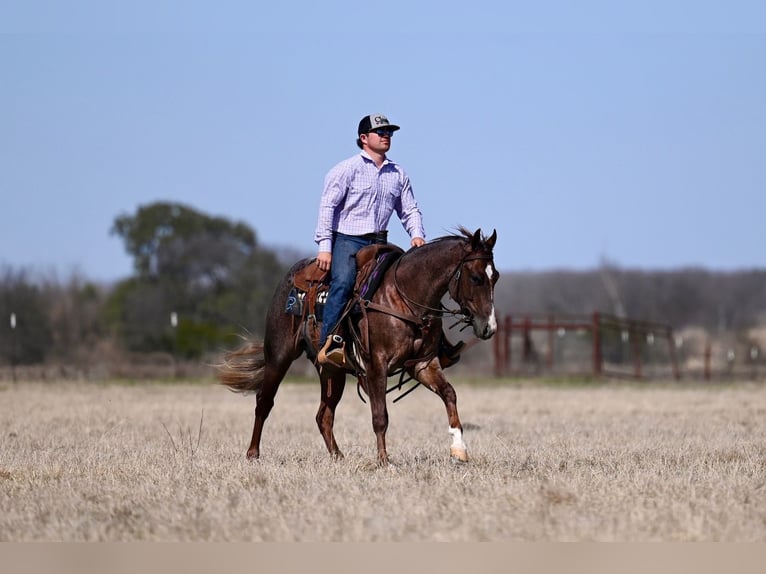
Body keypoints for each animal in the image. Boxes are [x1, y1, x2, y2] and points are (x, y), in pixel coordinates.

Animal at [217, 226, 498, 465]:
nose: (489, 327)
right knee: (264, 402)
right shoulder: (376, 366)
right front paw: (384, 461)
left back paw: (338, 457)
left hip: (332, 372)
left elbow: (450, 394)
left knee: (323, 415)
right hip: (278, 356)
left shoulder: (423, 364)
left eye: (495, 277)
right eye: (476, 277)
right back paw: (253, 454)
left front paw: (459, 449)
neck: (405, 298)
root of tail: (291, 276)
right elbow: (380, 416)